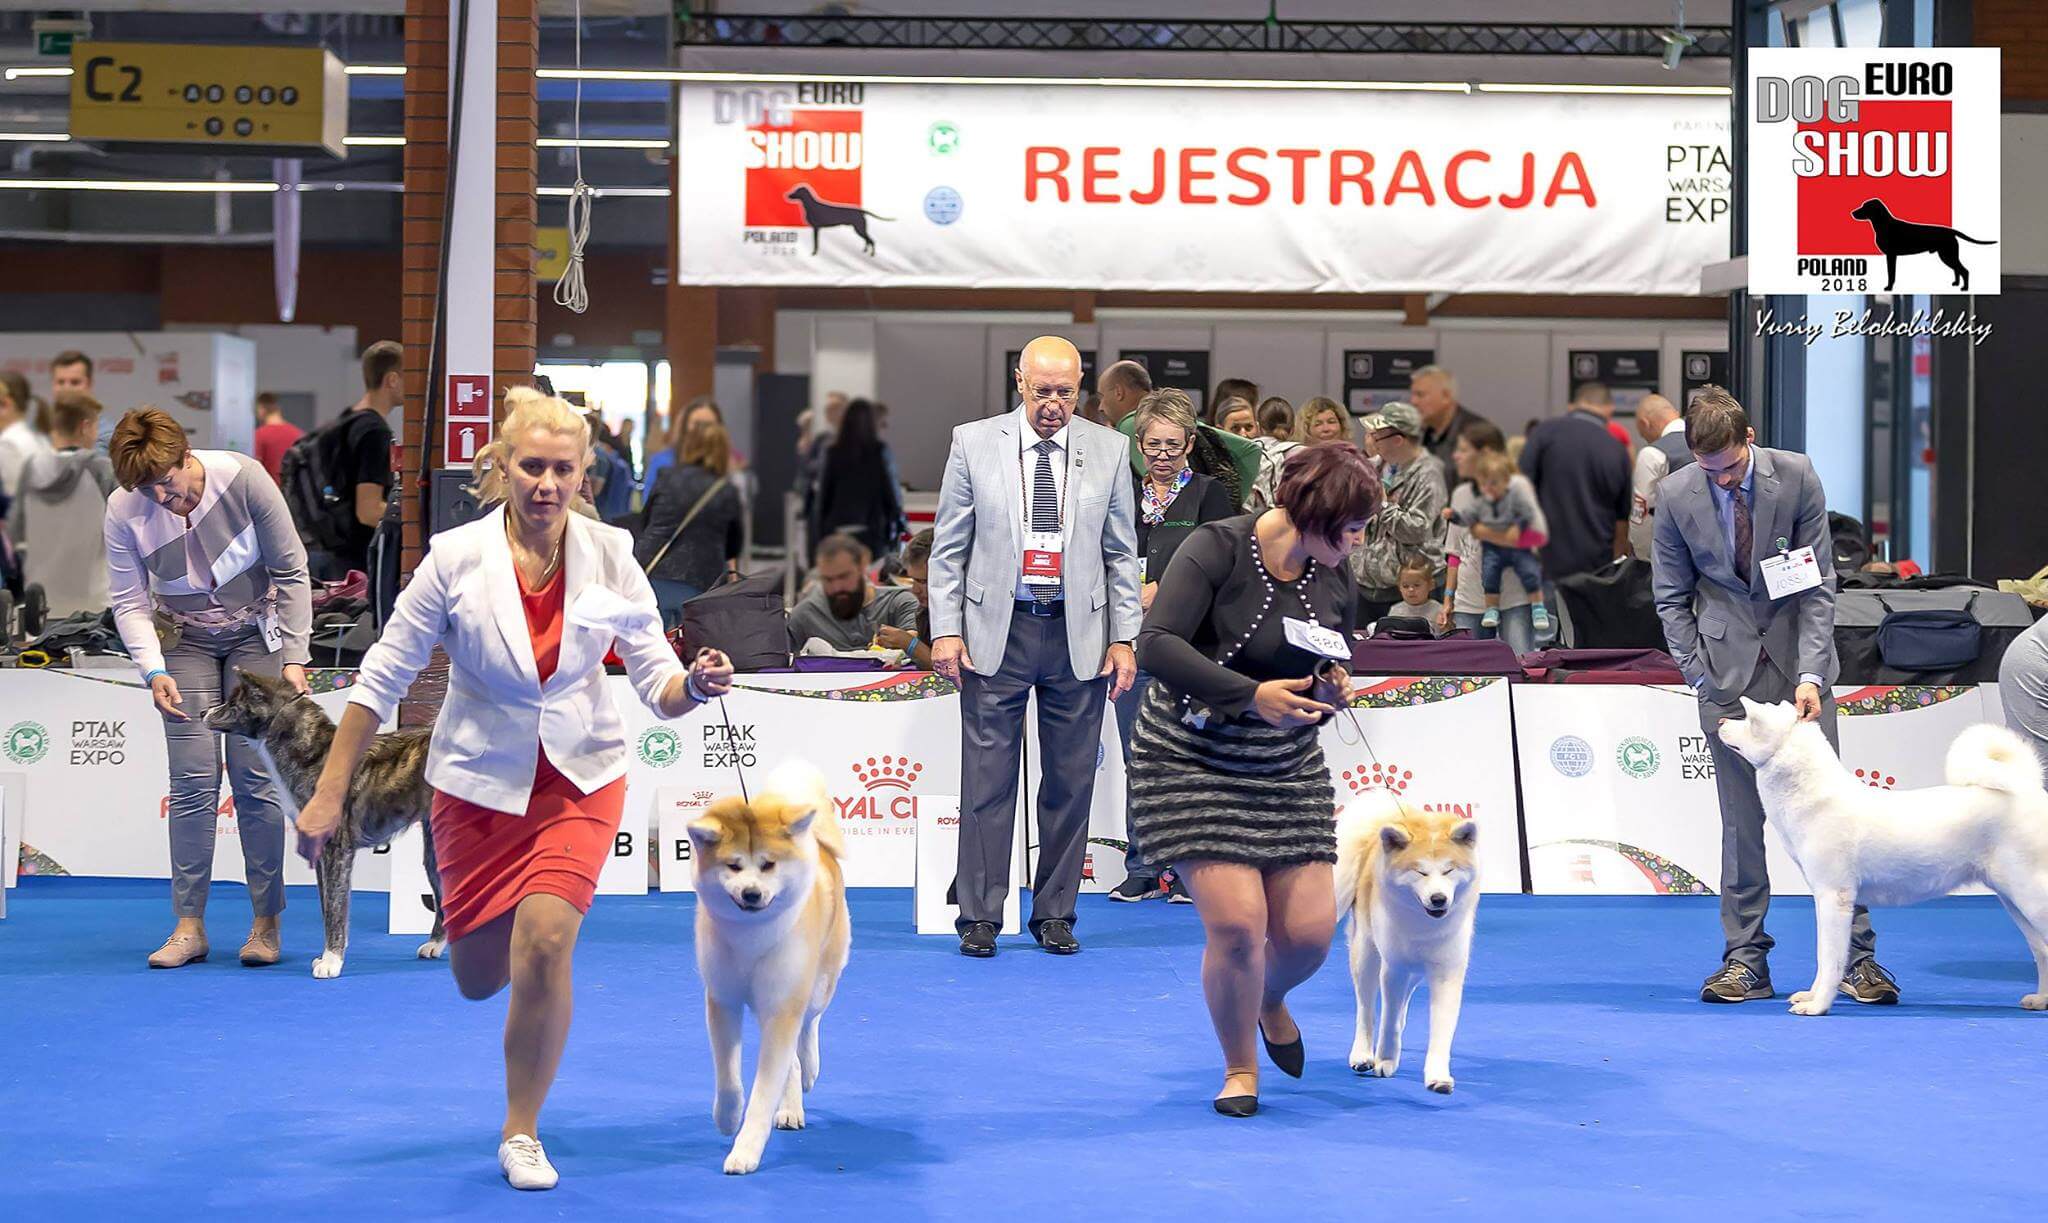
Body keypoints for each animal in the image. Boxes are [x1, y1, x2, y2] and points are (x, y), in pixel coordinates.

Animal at [203, 663, 444, 979]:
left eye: (233, 704)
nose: (203, 712)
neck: (312, 752)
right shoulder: (319, 851)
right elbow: (326, 905)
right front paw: (327, 956)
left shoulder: (337, 849)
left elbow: (335, 908)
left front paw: (331, 961)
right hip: (433, 852)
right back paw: (436, 945)